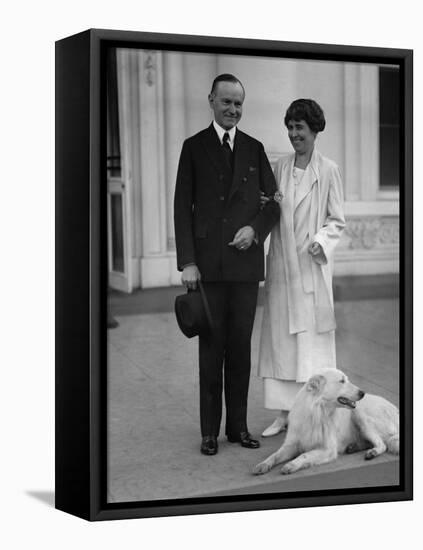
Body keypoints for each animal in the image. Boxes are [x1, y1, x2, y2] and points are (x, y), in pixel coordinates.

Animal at [255, 368, 400, 476]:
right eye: (342, 381)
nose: (362, 393)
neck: (317, 412)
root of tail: (396, 410)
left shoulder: (327, 449)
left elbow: (305, 455)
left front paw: (291, 464)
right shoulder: (292, 444)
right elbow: (275, 455)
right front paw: (263, 465)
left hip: (360, 415)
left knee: (382, 445)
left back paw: (372, 452)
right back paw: (354, 447)